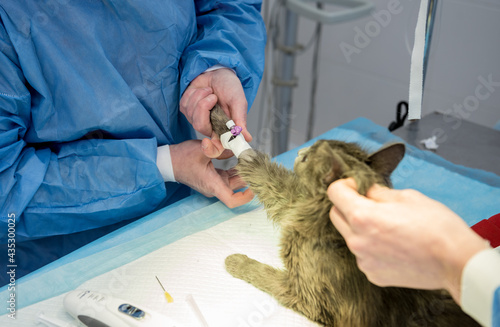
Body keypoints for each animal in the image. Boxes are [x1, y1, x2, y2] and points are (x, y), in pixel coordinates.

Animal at [209, 106, 478, 326]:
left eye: (307, 157)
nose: (300, 151)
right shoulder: (296, 202)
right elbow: (264, 172)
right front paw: (222, 121)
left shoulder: (305, 294)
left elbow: (265, 274)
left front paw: (237, 261)